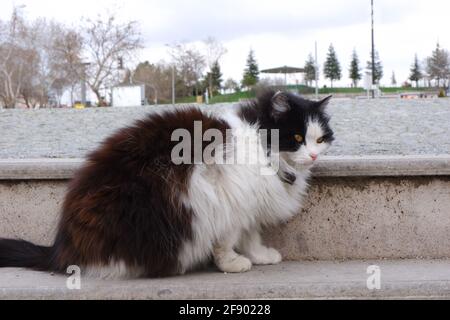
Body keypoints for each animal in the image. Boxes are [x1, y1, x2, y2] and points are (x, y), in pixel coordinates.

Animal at [0, 90, 334, 278]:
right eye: (297, 137)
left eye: (320, 139)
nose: (314, 155)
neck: (262, 149)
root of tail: (62, 248)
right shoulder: (229, 197)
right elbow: (228, 240)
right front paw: (233, 264)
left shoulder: (248, 204)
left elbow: (251, 236)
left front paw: (261, 256)